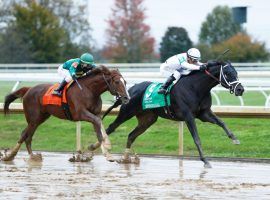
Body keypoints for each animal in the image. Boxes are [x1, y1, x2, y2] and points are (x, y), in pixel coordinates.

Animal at [1, 65, 130, 162]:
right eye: (117, 82)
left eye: (125, 82)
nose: (126, 98)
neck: (90, 90)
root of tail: (28, 89)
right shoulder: (81, 113)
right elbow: (98, 125)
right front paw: (107, 152)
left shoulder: (96, 114)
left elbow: (100, 127)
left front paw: (101, 149)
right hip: (34, 118)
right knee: (25, 134)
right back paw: (11, 156)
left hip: (41, 118)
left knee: (28, 135)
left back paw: (31, 156)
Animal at [90, 61, 245, 167]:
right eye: (228, 74)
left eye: (236, 73)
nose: (240, 89)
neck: (195, 87)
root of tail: (130, 90)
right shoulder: (188, 116)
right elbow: (197, 138)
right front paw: (205, 160)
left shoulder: (204, 114)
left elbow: (221, 122)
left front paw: (235, 139)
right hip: (126, 112)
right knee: (111, 128)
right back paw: (93, 149)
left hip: (148, 119)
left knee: (131, 135)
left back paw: (126, 158)